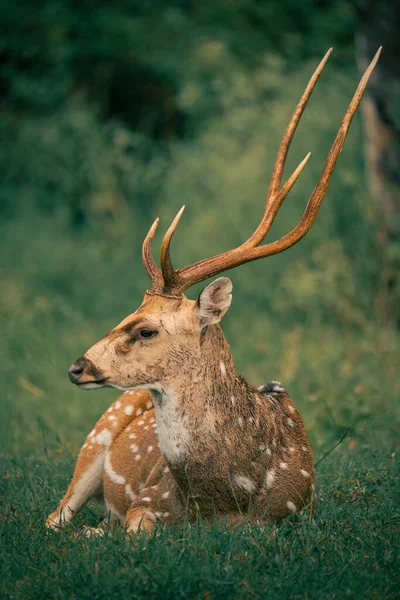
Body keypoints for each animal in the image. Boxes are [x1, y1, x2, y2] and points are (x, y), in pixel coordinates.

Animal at [45, 48, 380, 536]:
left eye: (146, 329)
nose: (77, 367)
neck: (224, 498)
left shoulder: (294, 514)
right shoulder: (150, 498)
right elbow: (133, 530)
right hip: (94, 438)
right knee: (54, 517)